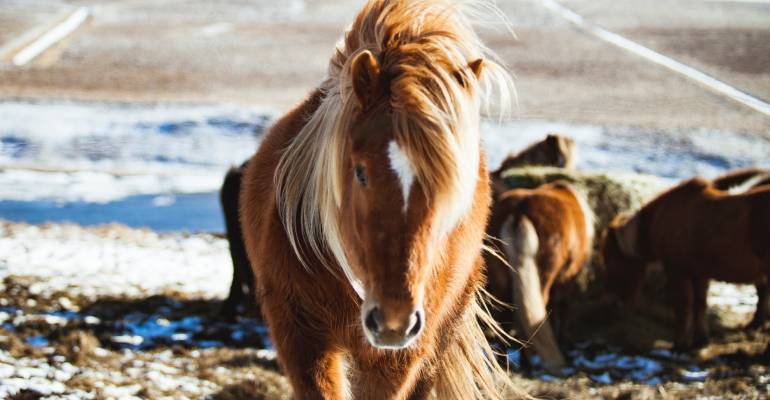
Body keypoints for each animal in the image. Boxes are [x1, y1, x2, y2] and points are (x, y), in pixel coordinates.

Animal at [600, 177, 768, 348]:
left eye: (612, 259)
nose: (607, 299)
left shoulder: (677, 270)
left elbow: (683, 306)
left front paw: (679, 344)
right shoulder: (699, 273)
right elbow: (700, 304)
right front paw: (701, 339)